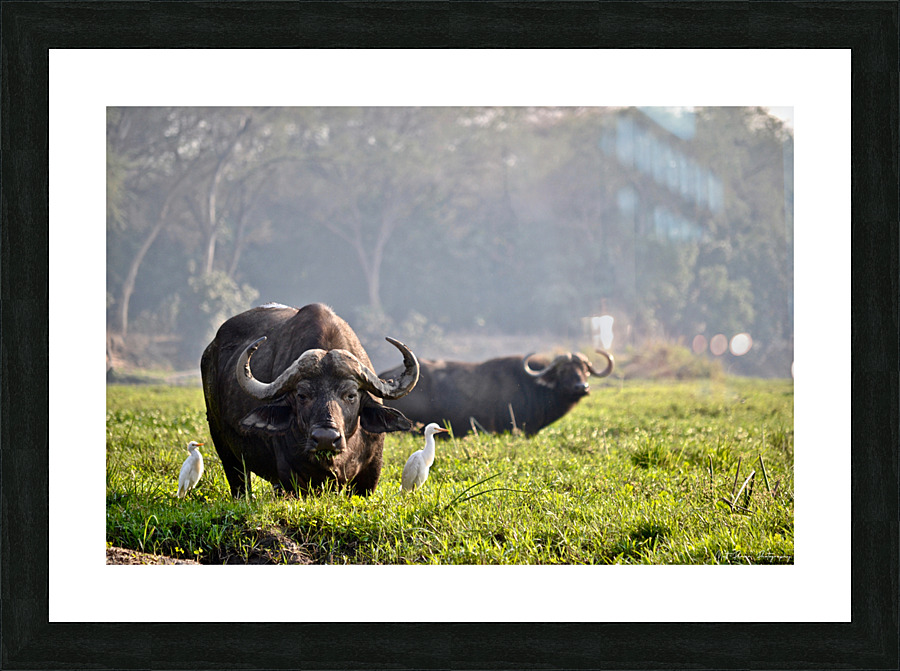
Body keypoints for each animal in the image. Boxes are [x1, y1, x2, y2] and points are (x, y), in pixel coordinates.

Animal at [200, 303, 419, 497]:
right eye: (302, 396)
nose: (325, 439)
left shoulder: (371, 472)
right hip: (224, 447)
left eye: (351, 395)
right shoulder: (291, 476)